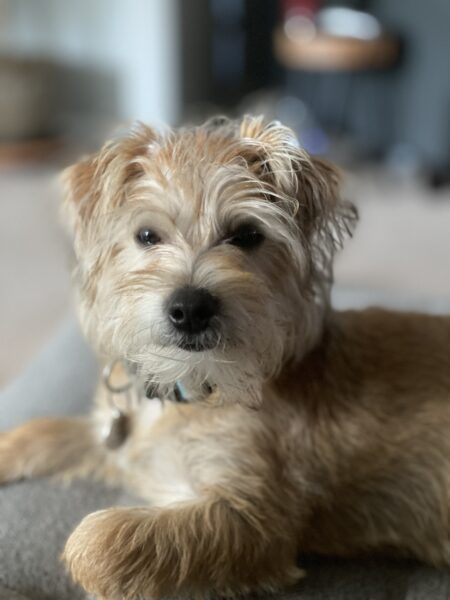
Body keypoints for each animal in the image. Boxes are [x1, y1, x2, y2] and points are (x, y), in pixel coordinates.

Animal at [0, 113, 450, 600]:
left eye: (247, 235)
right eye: (146, 235)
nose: (190, 308)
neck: (194, 388)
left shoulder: (256, 519)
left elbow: (99, 539)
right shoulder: (116, 436)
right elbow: (44, 430)